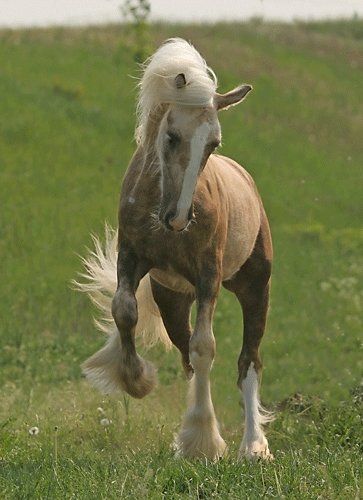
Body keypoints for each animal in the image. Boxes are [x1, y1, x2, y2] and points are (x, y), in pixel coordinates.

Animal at [77, 39, 276, 460]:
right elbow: (125, 311)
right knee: (184, 352)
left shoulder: (207, 277)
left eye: (212, 143)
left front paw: (202, 441)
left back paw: (253, 446)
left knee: (248, 360)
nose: (179, 218)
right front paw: (138, 380)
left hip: (255, 287)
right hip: (172, 298)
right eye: (171, 136)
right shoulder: (132, 260)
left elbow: (205, 347)